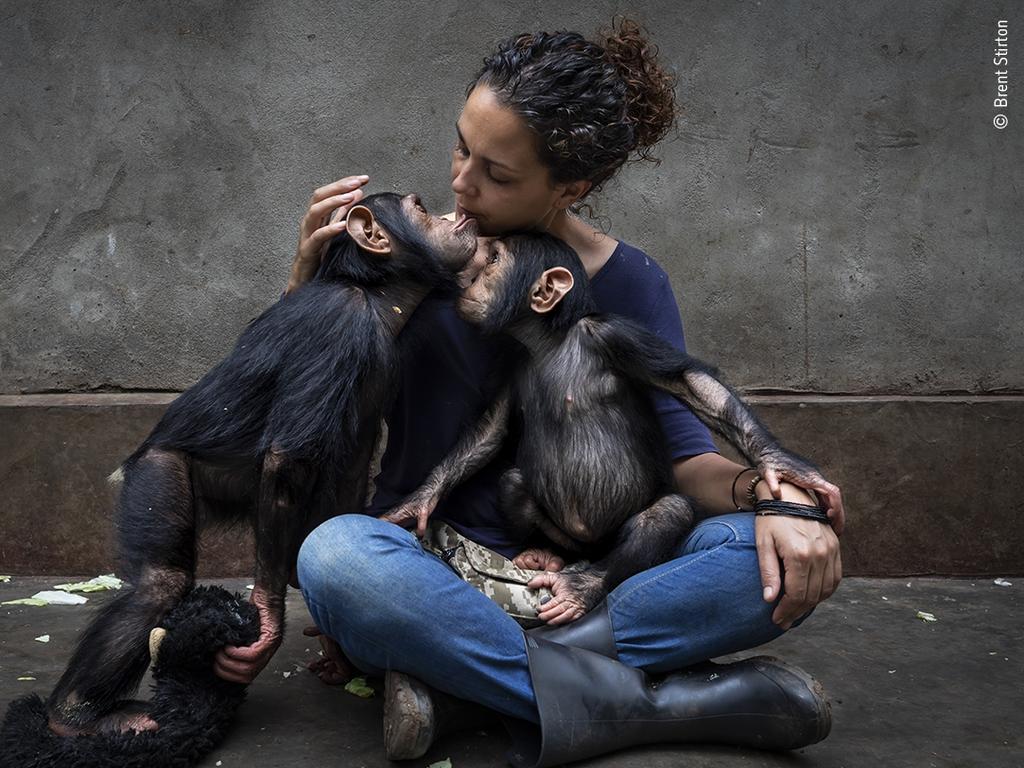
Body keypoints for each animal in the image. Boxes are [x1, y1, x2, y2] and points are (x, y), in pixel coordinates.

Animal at [387, 233, 835, 626]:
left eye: (494, 260)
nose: (474, 275)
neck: (549, 341)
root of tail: (591, 546)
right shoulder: (510, 361)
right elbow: (491, 430)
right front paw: (419, 502)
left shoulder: (615, 335)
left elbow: (689, 383)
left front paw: (780, 463)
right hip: (566, 535)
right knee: (513, 484)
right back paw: (544, 555)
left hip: (616, 539)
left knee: (666, 514)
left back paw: (584, 585)